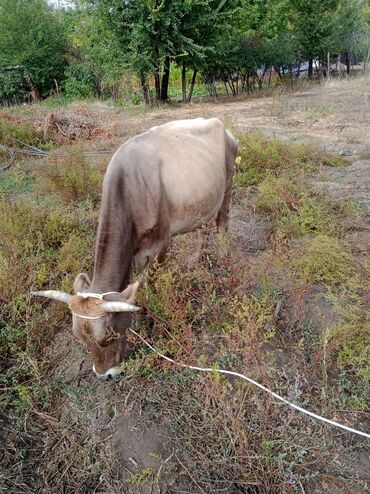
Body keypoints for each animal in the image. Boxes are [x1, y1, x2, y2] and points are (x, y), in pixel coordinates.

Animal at [33, 118, 238, 378]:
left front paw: (155, 320)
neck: (130, 188)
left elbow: (153, 284)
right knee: (205, 227)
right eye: (79, 338)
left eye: (108, 336)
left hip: (228, 186)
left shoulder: (161, 244)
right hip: (204, 201)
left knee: (223, 223)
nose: (104, 375)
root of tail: (218, 123)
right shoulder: (134, 253)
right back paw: (199, 258)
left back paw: (223, 260)